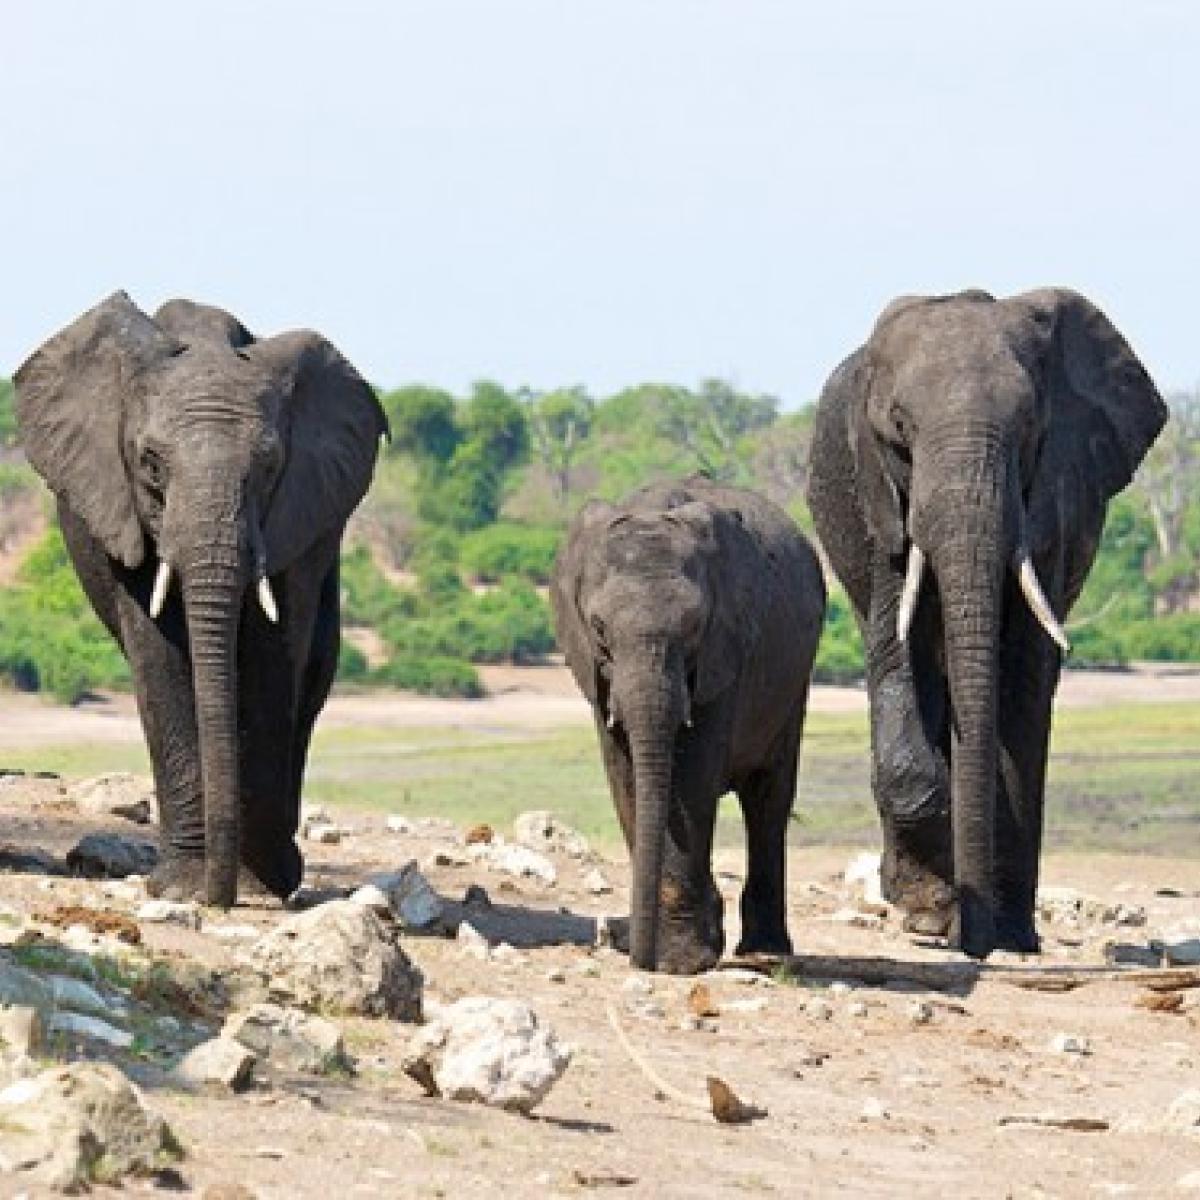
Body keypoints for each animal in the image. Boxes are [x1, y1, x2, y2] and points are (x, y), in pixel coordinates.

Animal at [15, 292, 388, 907]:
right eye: (150, 462)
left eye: (269, 466)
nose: (220, 896)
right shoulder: (122, 510)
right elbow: (159, 653)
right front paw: (186, 886)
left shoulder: (298, 510)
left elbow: (273, 653)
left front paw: (259, 886)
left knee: (314, 674)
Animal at [552, 472, 825, 969]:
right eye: (598, 629)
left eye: (696, 626)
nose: (635, 956)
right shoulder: (596, 673)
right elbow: (625, 776)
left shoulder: (726, 651)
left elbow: (693, 778)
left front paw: (678, 962)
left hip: (794, 681)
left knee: (768, 798)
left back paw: (766, 951)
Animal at [806, 285, 1161, 960]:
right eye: (900, 429)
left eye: (1027, 430)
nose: (976, 942)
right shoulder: (882, 502)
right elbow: (899, 652)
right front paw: (931, 915)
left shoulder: (1053, 500)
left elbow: (1023, 677)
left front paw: (1002, 933)